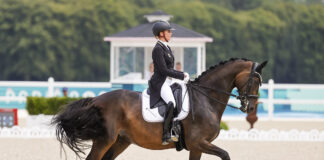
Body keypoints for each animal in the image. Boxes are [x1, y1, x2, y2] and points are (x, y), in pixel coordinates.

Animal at [52, 57, 268, 160]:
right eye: (255, 81)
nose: (250, 107)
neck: (205, 99)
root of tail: (96, 100)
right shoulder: (199, 142)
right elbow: (225, 155)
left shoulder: (196, 147)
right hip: (104, 139)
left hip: (120, 141)